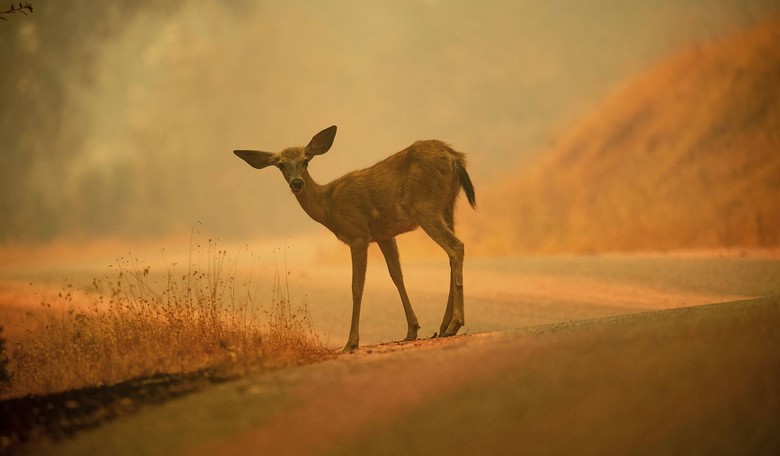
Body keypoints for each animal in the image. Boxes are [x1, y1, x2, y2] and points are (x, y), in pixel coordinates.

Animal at [234, 126, 476, 352]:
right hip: (447, 206)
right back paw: (444, 326)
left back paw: (455, 323)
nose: (296, 183)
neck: (329, 206)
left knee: (456, 247)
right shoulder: (384, 234)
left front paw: (351, 343)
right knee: (451, 254)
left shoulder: (357, 234)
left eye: (305, 161)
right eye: (281, 164)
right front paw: (412, 329)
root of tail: (455, 157)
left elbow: (356, 287)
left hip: (424, 207)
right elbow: (397, 275)